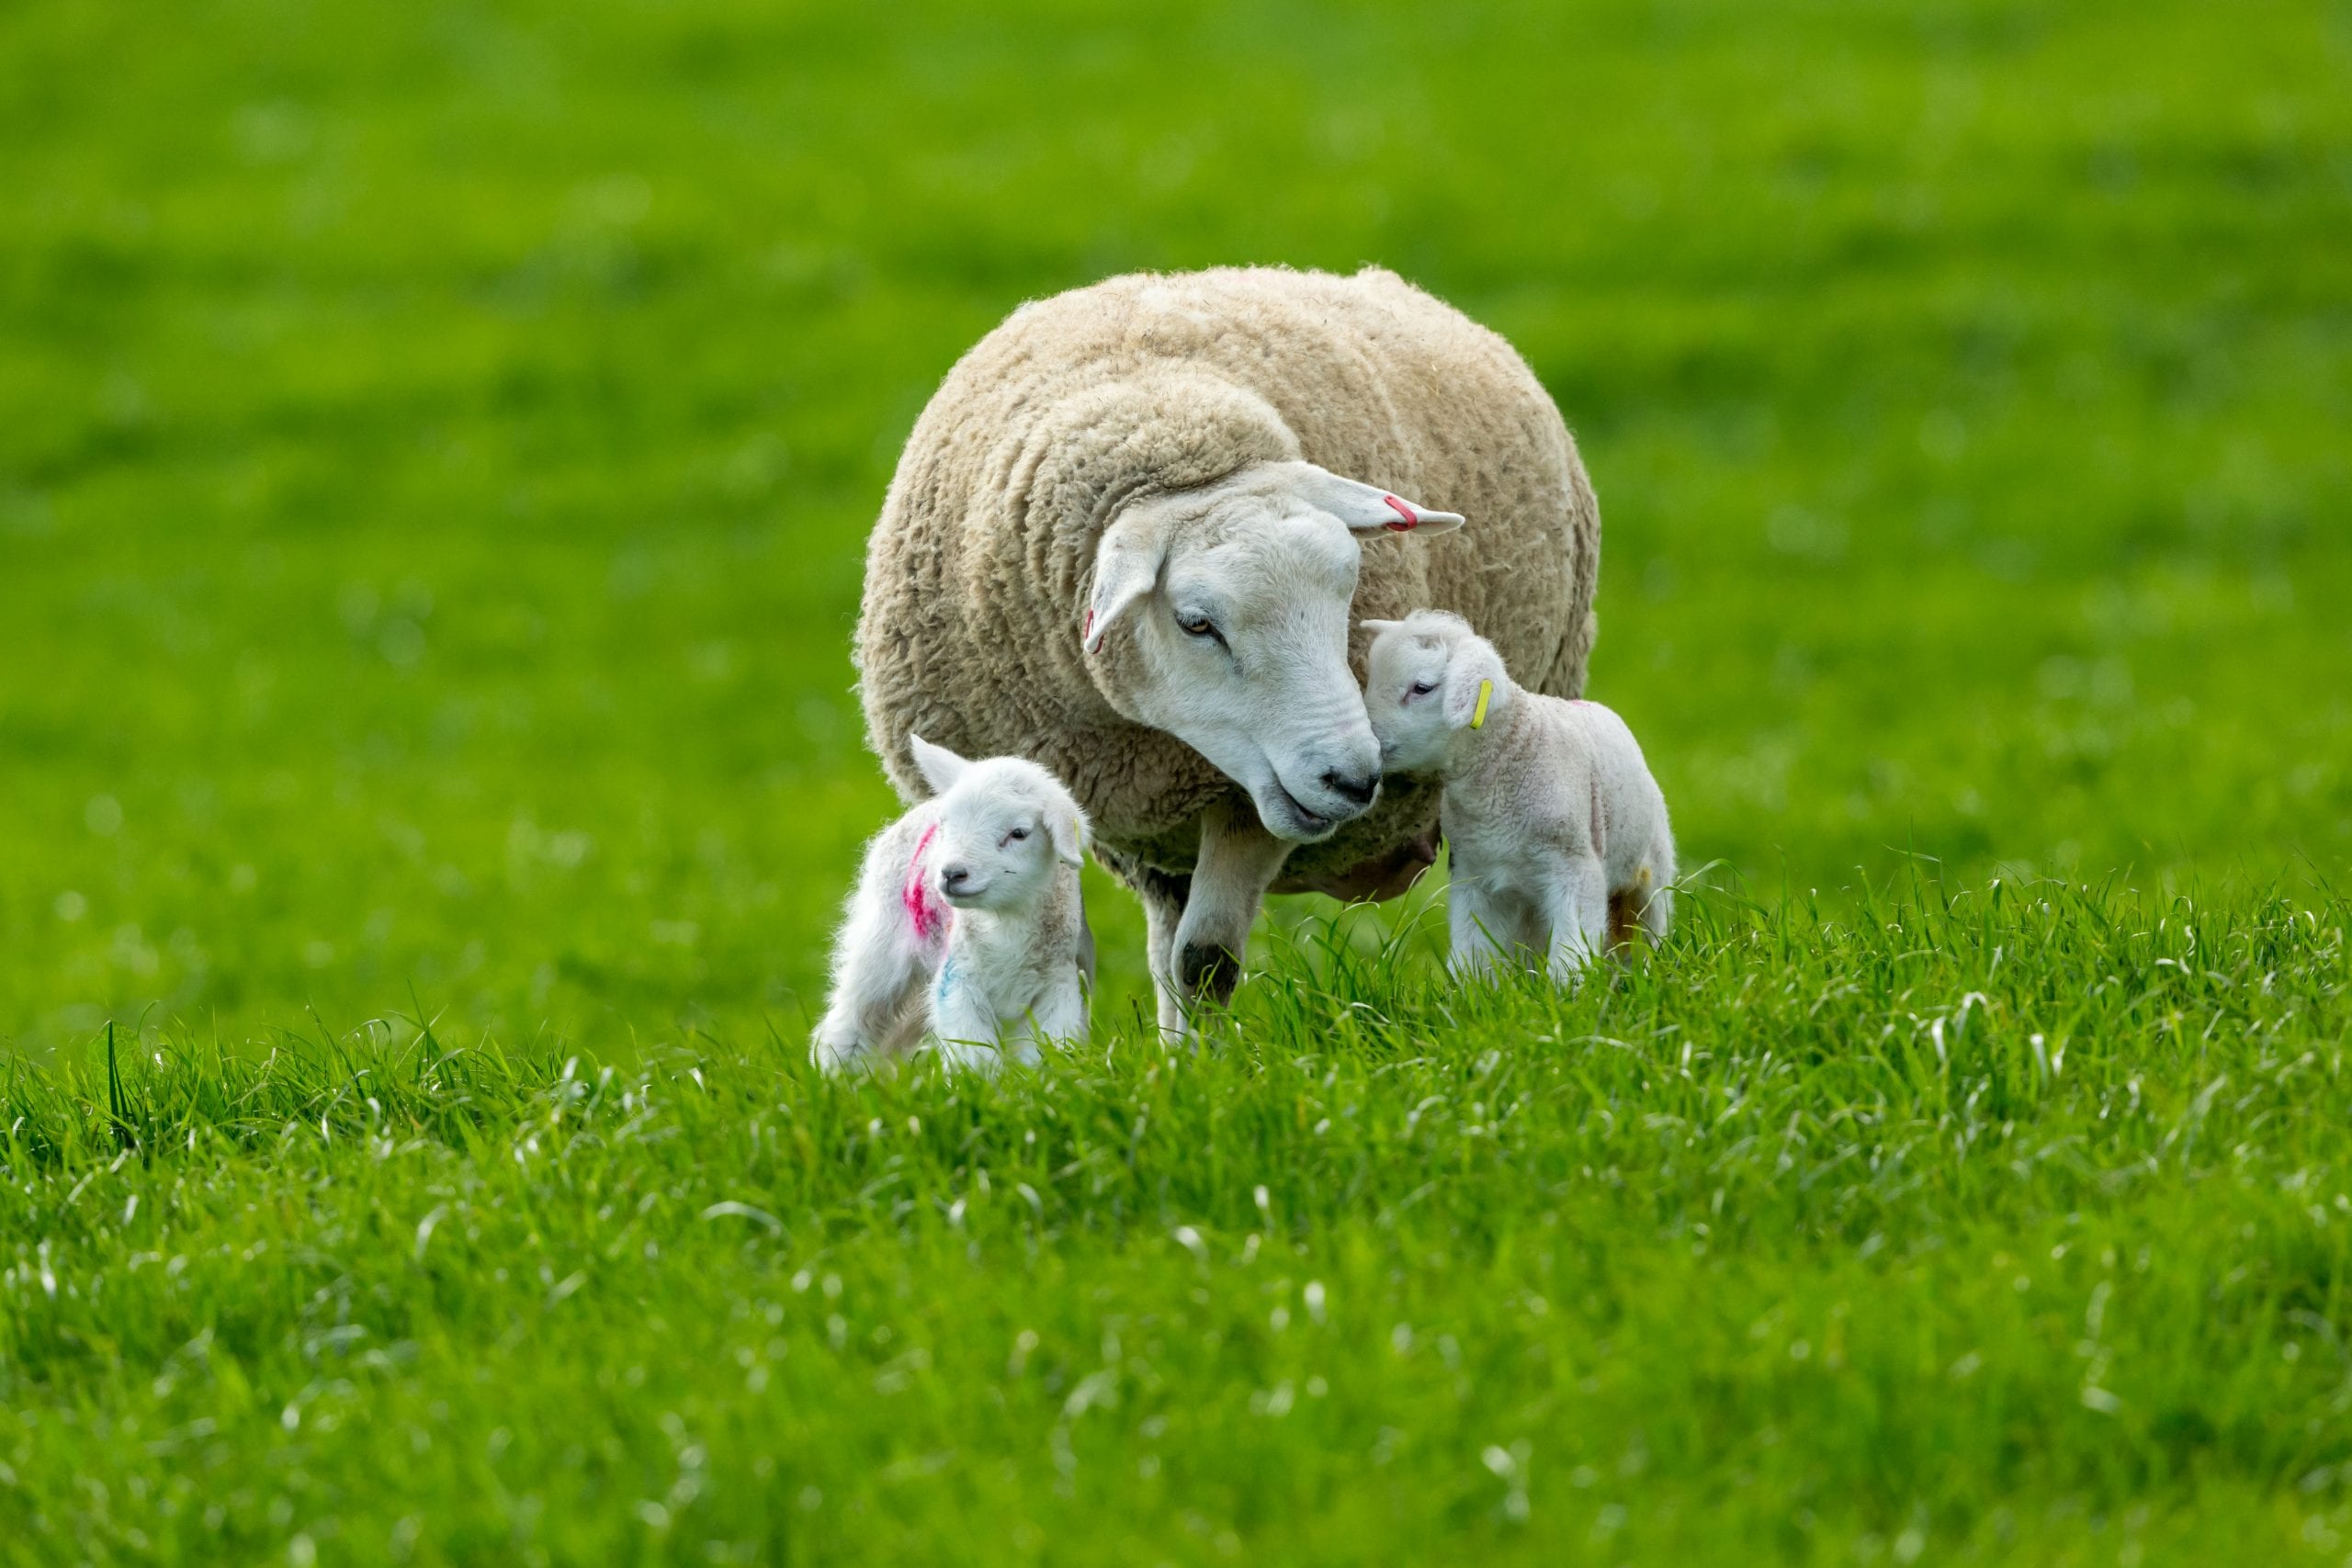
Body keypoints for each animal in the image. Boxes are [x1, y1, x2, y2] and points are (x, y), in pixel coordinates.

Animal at [813, 738, 1095, 1081]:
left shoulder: (1059, 986)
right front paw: (981, 1088)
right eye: (947, 825)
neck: (1005, 921)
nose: (951, 874)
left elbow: (1046, 1052)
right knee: (854, 1015)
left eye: (1019, 833)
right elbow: (975, 1056)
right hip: (880, 946)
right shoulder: (959, 982)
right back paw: (836, 1079)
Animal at [1363, 611, 1674, 982]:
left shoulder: (1574, 869)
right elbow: (1472, 952)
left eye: (1421, 688)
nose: (1368, 741)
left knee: (1646, 936)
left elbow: (1570, 952)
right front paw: (1469, 992)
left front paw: (1566, 992)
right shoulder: (1474, 874)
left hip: (1651, 874)